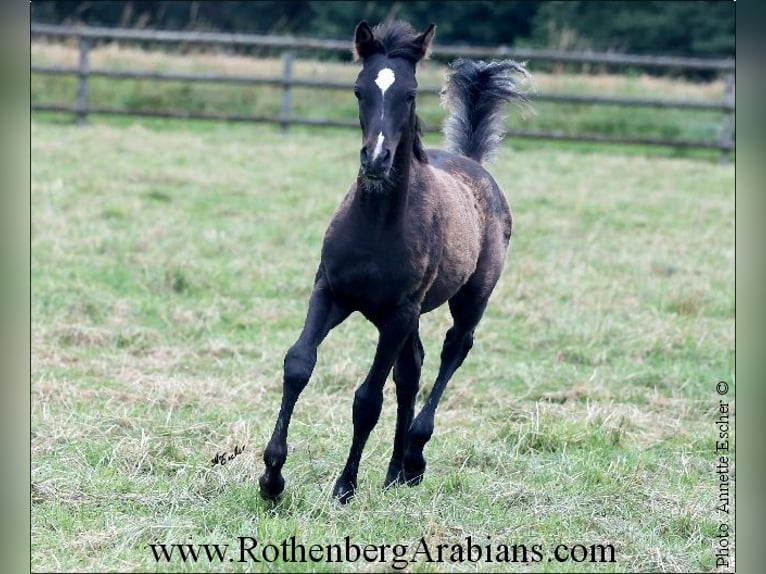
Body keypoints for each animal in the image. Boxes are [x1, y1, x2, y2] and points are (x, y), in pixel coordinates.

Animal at [258, 19, 528, 504]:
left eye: (410, 93)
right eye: (359, 89)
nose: (376, 159)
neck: (378, 226)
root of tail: (474, 163)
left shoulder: (398, 312)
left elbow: (368, 400)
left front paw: (344, 487)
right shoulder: (331, 292)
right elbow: (298, 365)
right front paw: (272, 478)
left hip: (469, 298)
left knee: (453, 350)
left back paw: (415, 457)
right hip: (408, 314)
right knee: (412, 369)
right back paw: (395, 472)